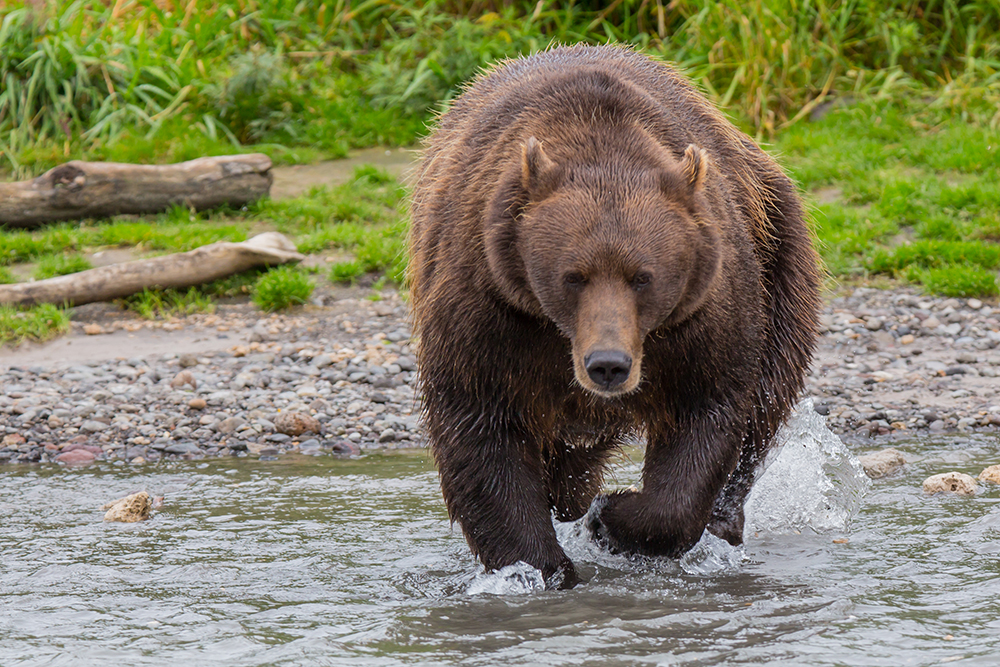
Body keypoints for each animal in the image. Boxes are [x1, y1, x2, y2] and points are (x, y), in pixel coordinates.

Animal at [408, 43, 820, 588]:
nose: (608, 364)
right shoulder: (489, 302)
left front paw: (612, 519)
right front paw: (539, 567)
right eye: (573, 276)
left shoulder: (701, 312)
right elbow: (480, 424)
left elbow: (706, 411)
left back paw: (720, 521)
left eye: (642, 276)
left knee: (765, 401)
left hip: (778, 250)